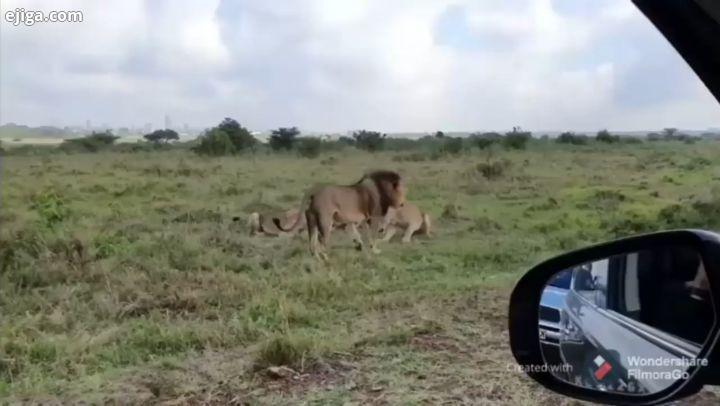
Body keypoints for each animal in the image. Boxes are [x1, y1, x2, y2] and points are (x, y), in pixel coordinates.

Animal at [272, 170, 404, 260]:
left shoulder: (355, 220)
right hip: (325, 220)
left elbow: (357, 234)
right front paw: (375, 250)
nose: (402, 204)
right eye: (401, 191)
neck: (379, 189)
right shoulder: (373, 218)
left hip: (311, 220)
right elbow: (372, 235)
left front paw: (360, 246)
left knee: (312, 242)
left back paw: (318, 259)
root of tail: (314, 190)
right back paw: (326, 258)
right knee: (321, 240)